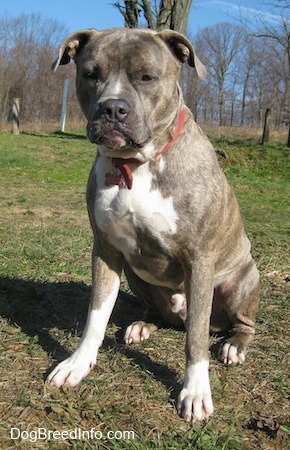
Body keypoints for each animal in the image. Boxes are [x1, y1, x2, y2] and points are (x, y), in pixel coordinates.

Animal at [46, 28, 260, 422]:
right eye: (90, 74)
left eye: (147, 77)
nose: (113, 108)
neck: (136, 163)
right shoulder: (106, 250)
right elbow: (96, 315)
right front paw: (77, 364)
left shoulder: (199, 261)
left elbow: (195, 339)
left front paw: (195, 392)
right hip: (136, 275)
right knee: (158, 312)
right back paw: (141, 326)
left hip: (241, 280)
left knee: (238, 324)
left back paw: (234, 346)